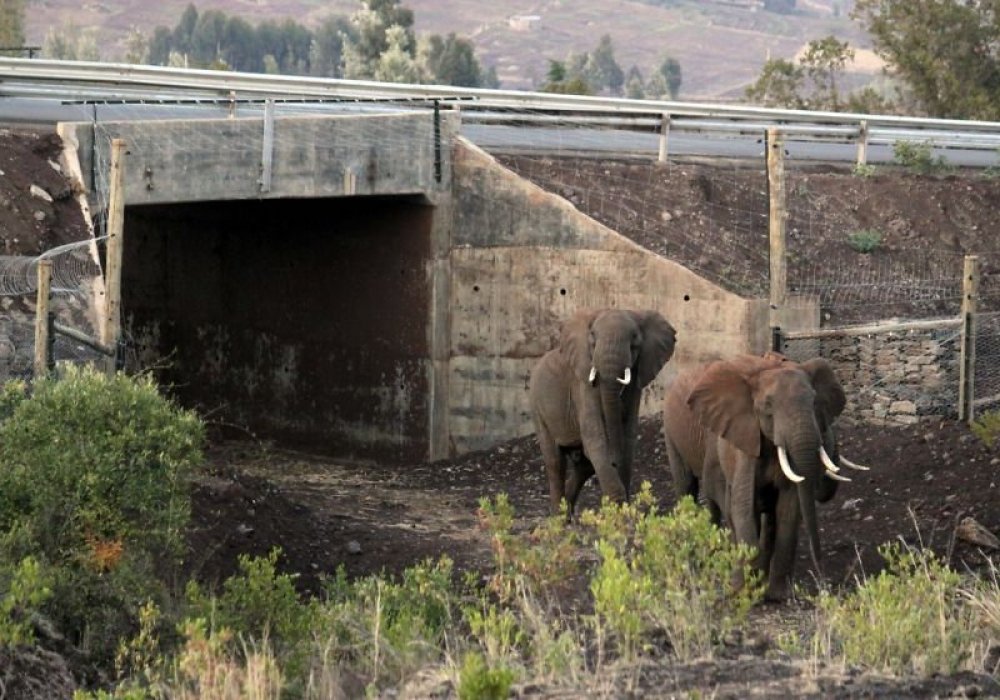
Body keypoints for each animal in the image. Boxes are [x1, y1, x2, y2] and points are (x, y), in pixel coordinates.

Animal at [528, 308, 676, 516]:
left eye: (634, 342)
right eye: (593, 339)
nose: (614, 462)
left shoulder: (636, 380)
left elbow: (628, 439)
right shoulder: (582, 384)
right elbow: (595, 437)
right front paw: (620, 512)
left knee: (584, 465)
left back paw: (567, 514)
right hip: (538, 409)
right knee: (555, 462)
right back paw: (558, 518)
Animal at [664, 352, 868, 600]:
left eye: (814, 402)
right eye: (768, 406)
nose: (823, 581)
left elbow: (788, 509)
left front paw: (778, 596)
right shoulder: (743, 439)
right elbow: (743, 505)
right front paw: (744, 592)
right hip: (672, 432)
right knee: (688, 488)